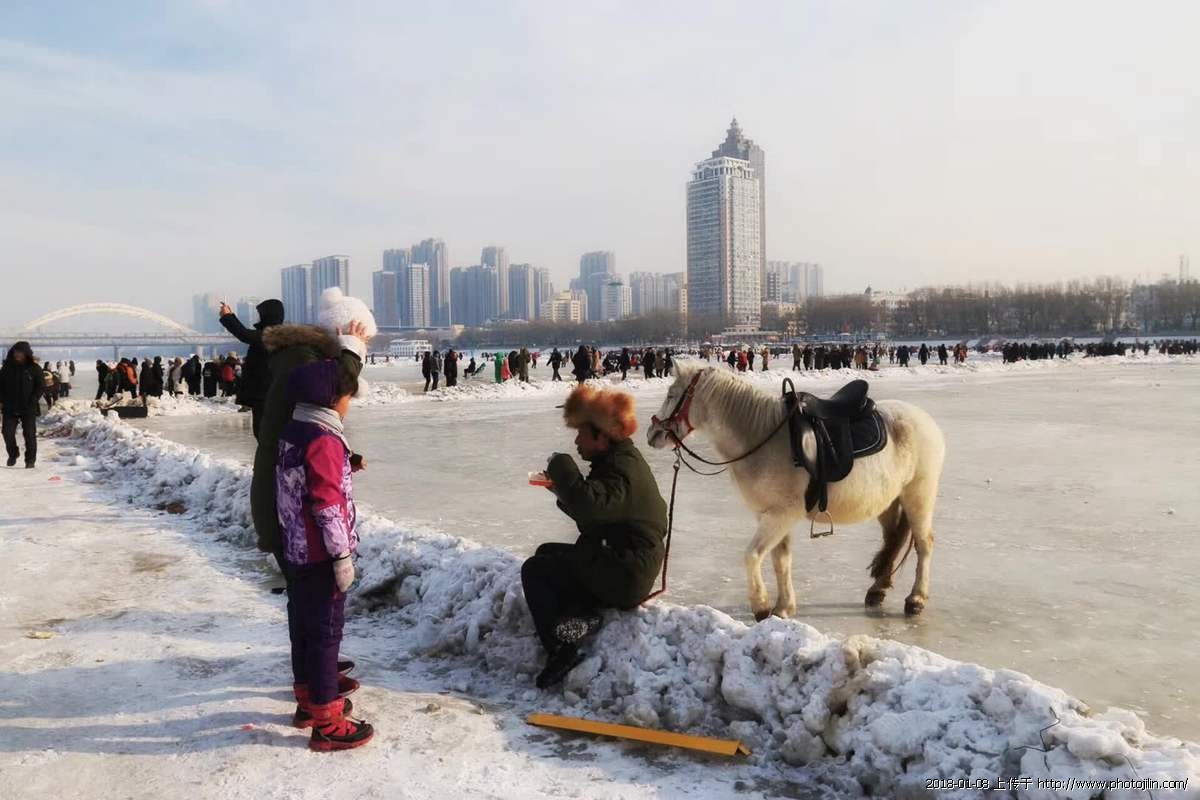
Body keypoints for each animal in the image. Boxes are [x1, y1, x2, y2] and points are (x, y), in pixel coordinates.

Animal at [646, 361, 946, 619]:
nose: (652, 434)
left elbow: (752, 556)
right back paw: (877, 590)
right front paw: (783, 608)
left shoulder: (781, 515)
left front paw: (761, 606)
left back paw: (916, 599)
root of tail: (925, 419)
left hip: (918, 495)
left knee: (924, 544)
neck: (762, 438)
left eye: (672, 394)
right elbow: (781, 560)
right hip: (889, 501)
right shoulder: (770, 515)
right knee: (892, 540)